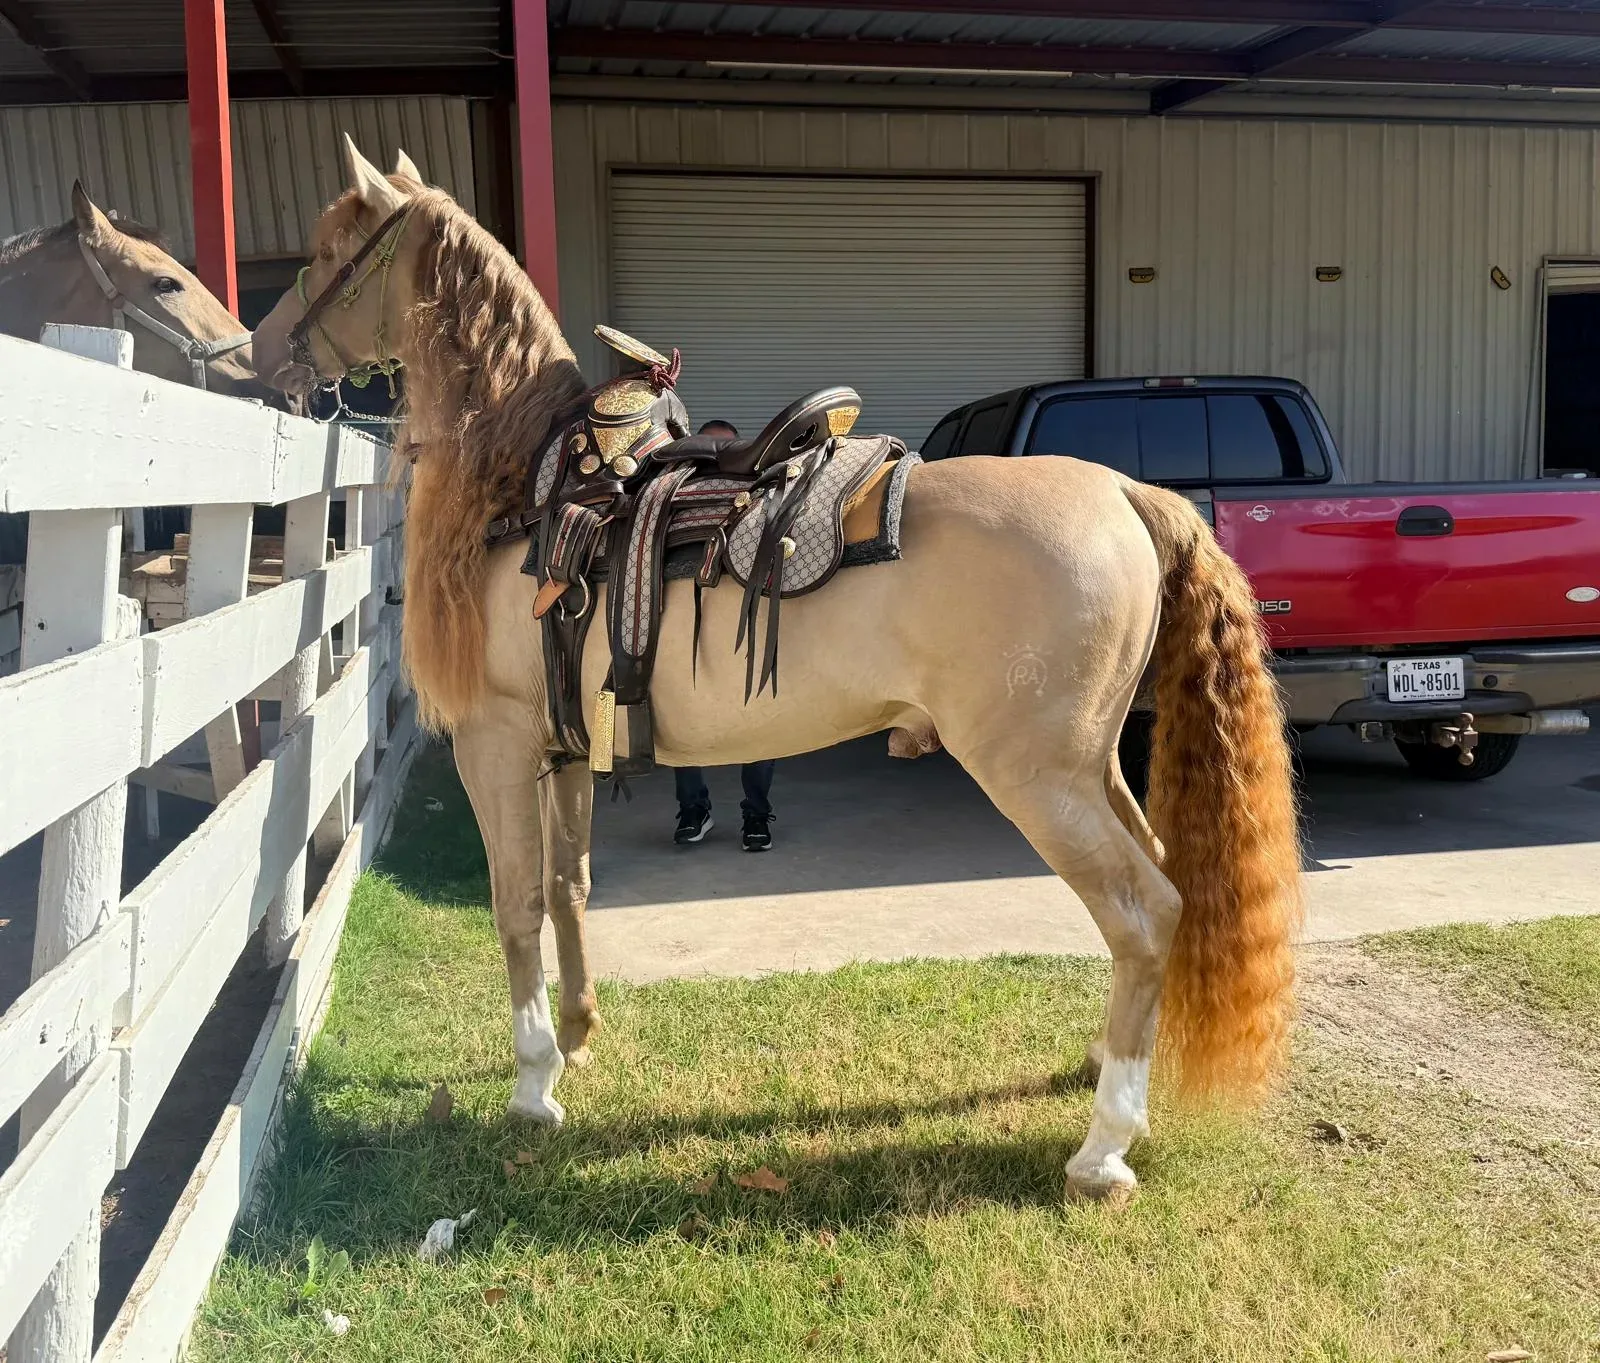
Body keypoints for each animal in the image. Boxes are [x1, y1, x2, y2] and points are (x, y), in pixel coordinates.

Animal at [252, 136, 1302, 1204]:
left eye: (329, 247)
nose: (260, 349)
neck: (527, 484)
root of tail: (1128, 492)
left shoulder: (495, 745)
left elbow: (514, 908)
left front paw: (535, 1084)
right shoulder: (563, 748)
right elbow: (568, 886)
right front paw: (580, 1037)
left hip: (1038, 776)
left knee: (1144, 912)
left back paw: (1104, 1144)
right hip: (1092, 768)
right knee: (1162, 889)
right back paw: (1103, 1067)